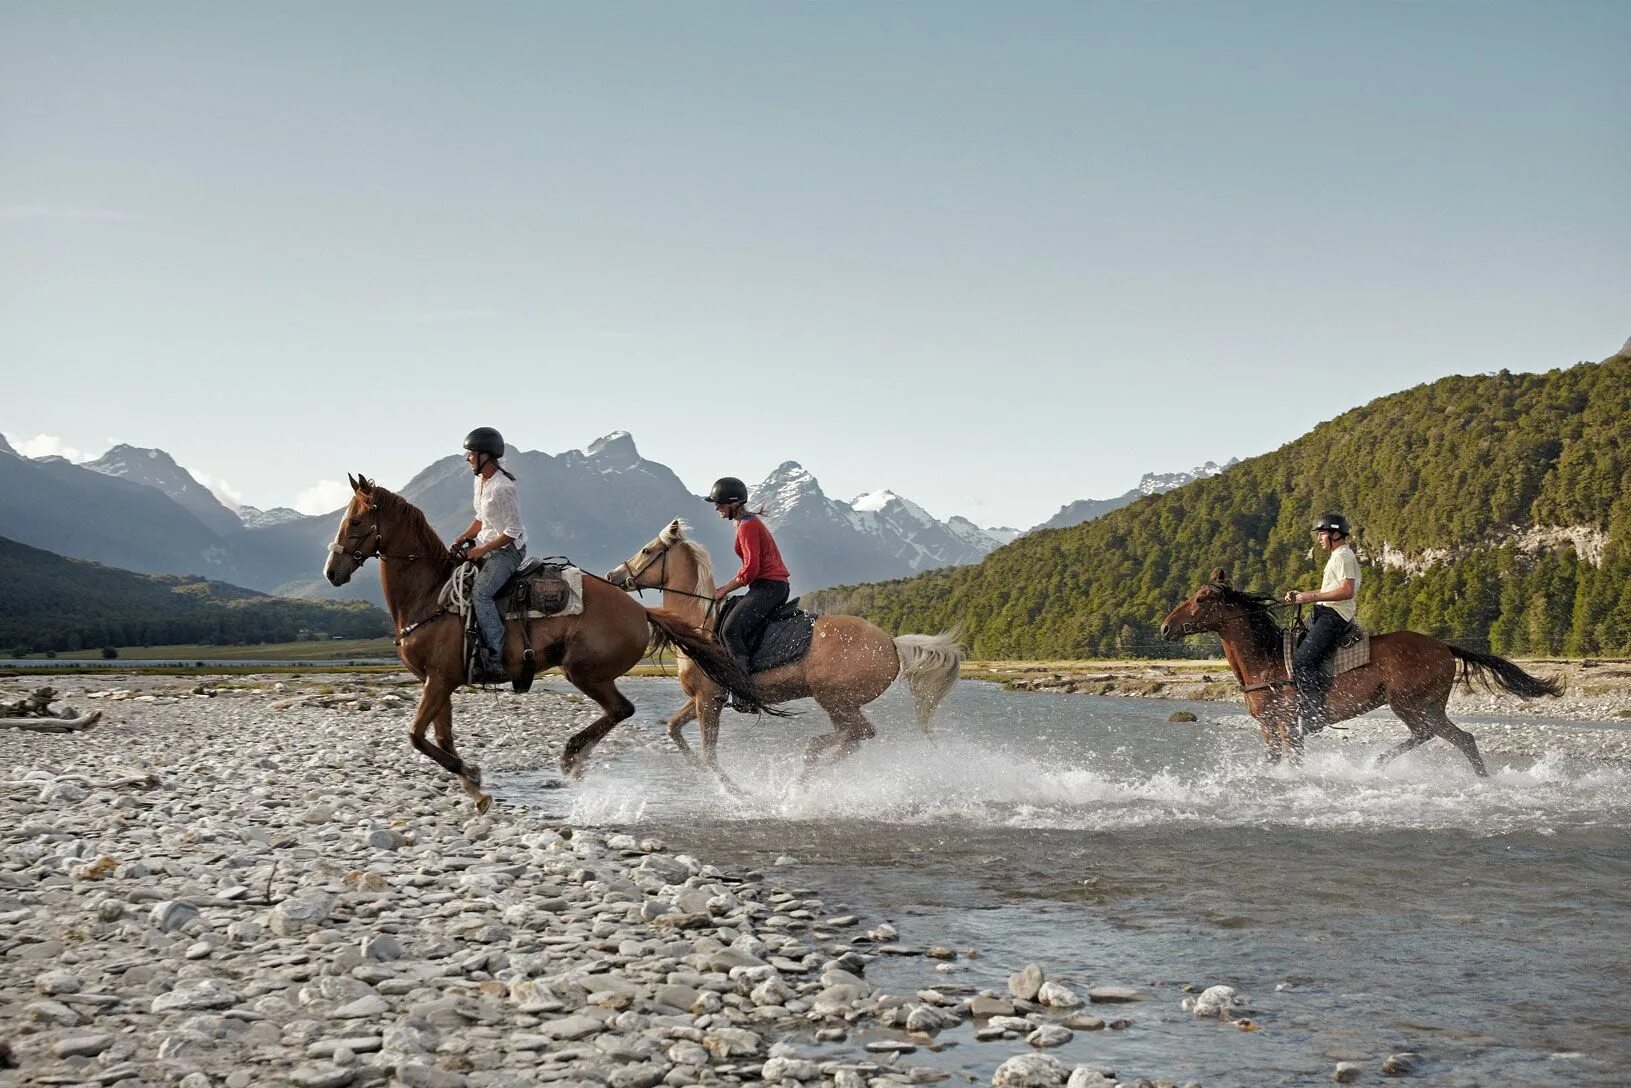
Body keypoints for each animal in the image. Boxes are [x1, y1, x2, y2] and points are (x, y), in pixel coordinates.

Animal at [327, 476, 773, 809]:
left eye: (355, 521)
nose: (332, 571)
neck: (431, 596)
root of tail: (638, 609)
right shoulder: (441, 682)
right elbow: (441, 738)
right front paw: (473, 783)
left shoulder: (437, 680)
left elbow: (417, 736)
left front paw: (473, 777)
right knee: (618, 713)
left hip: (583, 671)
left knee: (622, 709)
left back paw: (571, 756)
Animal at [603, 518, 959, 782]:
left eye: (647, 550)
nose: (612, 575)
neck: (698, 622)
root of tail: (891, 643)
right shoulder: (703, 698)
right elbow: (675, 729)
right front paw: (696, 768)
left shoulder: (708, 699)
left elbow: (710, 755)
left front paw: (739, 795)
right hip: (841, 703)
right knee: (854, 737)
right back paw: (808, 770)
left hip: (835, 698)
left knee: (859, 733)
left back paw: (807, 764)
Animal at [1154, 570, 1559, 773]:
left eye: (1201, 598)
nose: (1165, 627)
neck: (1265, 662)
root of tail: (1445, 647)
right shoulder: (1269, 728)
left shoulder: (1289, 727)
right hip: (1427, 706)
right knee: (1464, 739)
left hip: (1409, 704)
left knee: (1432, 734)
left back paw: (1377, 764)